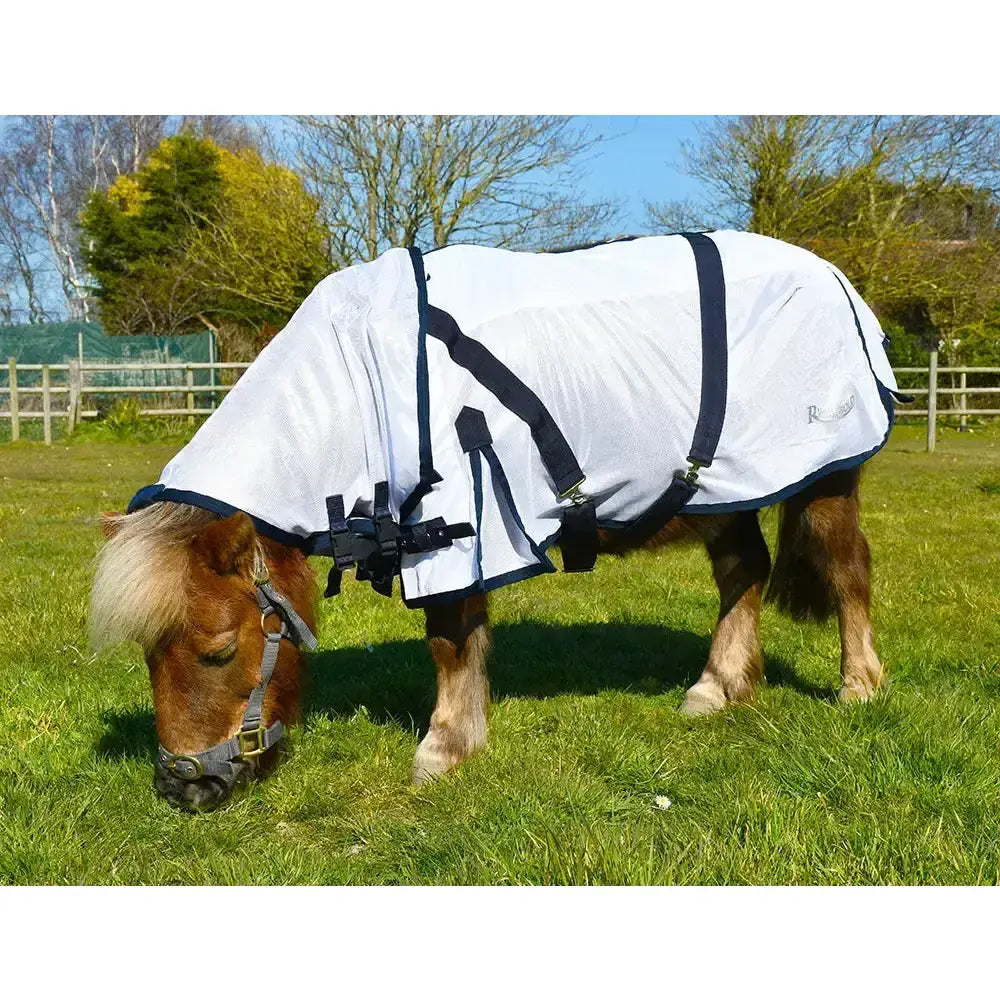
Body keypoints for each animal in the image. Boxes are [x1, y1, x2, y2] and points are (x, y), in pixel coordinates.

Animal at [89, 232, 894, 809]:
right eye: (149, 658)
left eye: (220, 652)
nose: (183, 788)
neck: (362, 379)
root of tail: (835, 279)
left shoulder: (458, 524)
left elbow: (451, 639)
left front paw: (443, 748)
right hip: (721, 490)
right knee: (743, 573)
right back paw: (718, 688)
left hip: (823, 481)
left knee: (848, 570)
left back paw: (858, 686)